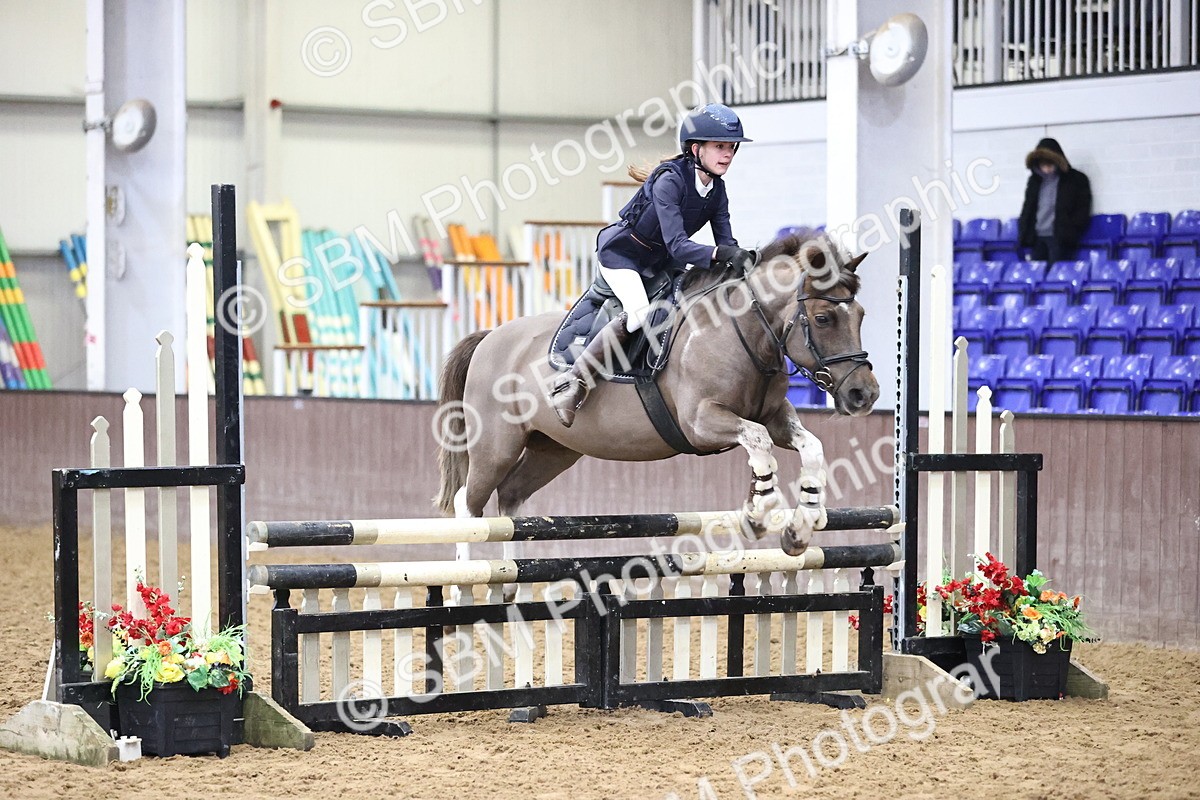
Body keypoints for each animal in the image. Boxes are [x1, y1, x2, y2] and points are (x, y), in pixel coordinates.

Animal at [433, 231, 880, 556]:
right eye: (822, 318)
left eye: (860, 315)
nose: (865, 394)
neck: (742, 332)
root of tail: (490, 336)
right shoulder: (702, 422)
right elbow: (758, 441)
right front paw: (758, 514)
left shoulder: (775, 417)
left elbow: (810, 447)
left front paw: (800, 527)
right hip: (496, 447)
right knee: (469, 506)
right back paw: (465, 595)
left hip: (553, 450)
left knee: (510, 502)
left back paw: (511, 589)